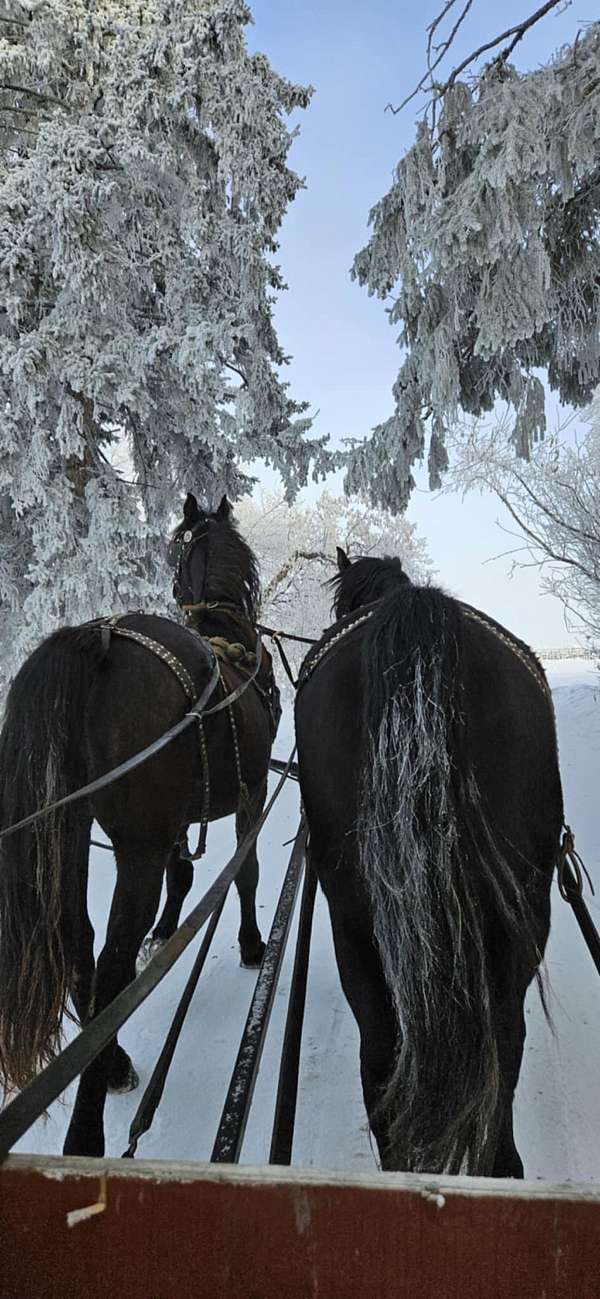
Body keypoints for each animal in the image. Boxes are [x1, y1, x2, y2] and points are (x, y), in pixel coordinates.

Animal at [0, 491, 277, 1153]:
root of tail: (93, 641)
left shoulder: (174, 819)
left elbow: (184, 874)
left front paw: (169, 929)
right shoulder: (250, 791)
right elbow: (246, 872)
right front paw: (251, 943)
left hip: (71, 832)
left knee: (78, 942)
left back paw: (114, 1062)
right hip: (135, 846)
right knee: (110, 961)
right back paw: (87, 1131)